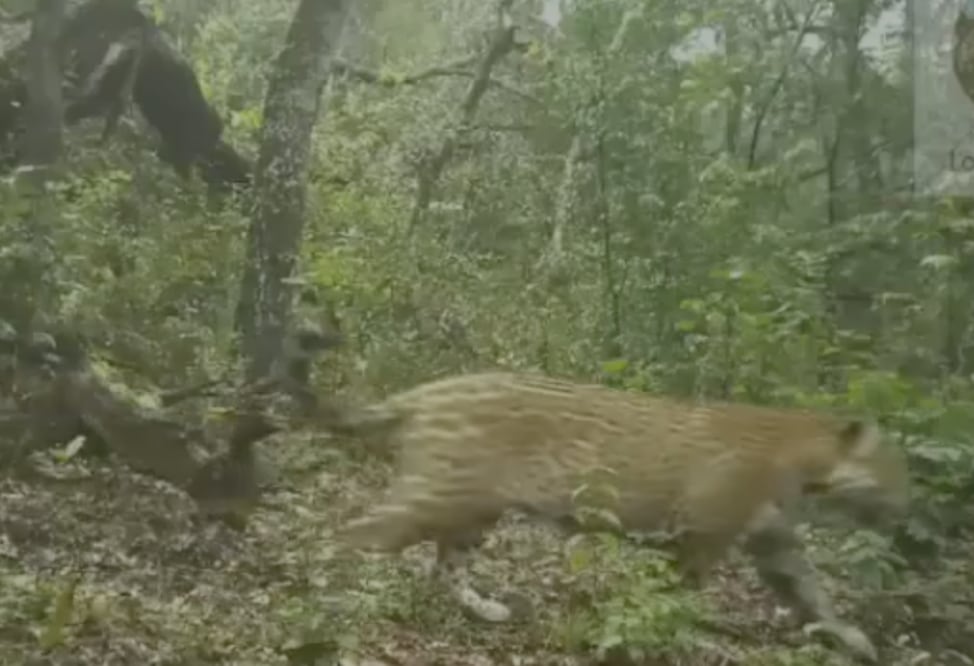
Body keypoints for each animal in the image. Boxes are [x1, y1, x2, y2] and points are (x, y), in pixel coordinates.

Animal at [325, 371, 910, 662]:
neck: (805, 462)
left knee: (444, 567)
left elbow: (813, 592)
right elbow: (679, 597)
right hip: (436, 498)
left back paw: (490, 610)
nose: (908, 501)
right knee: (353, 534)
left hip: (475, 511)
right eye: (892, 466)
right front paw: (685, 640)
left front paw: (854, 640)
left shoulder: (772, 542)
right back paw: (333, 597)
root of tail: (425, 392)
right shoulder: (703, 534)